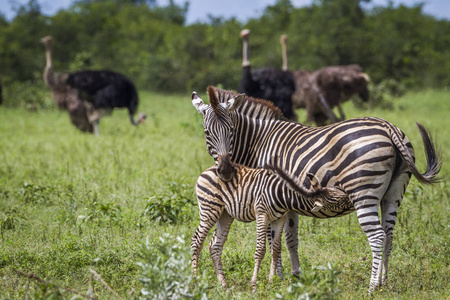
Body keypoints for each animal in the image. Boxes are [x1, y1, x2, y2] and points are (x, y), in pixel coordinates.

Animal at [190, 163, 348, 290]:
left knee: (215, 246)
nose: (351, 197)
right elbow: (261, 250)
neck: (284, 196)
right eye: (338, 199)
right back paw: (195, 281)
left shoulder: (279, 219)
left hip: (224, 214)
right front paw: (254, 285)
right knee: (196, 241)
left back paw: (223, 285)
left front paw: (272, 282)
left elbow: (276, 250)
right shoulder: (262, 215)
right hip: (209, 208)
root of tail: (208, 170)